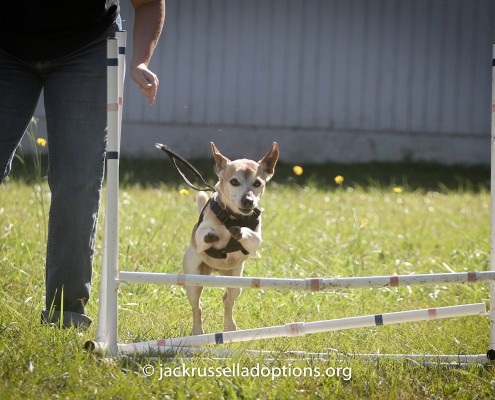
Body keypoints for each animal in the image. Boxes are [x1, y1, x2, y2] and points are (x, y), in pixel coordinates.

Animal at [183, 141, 280, 334]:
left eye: (257, 183)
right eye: (234, 181)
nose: (248, 200)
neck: (233, 217)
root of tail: (216, 270)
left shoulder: (256, 241)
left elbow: (249, 235)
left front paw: (238, 232)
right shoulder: (198, 236)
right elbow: (204, 234)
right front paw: (212, 235)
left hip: (236, 280)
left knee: (228, 298)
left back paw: (229, 327)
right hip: (193, 279)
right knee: (197, 305)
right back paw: (198, 331)